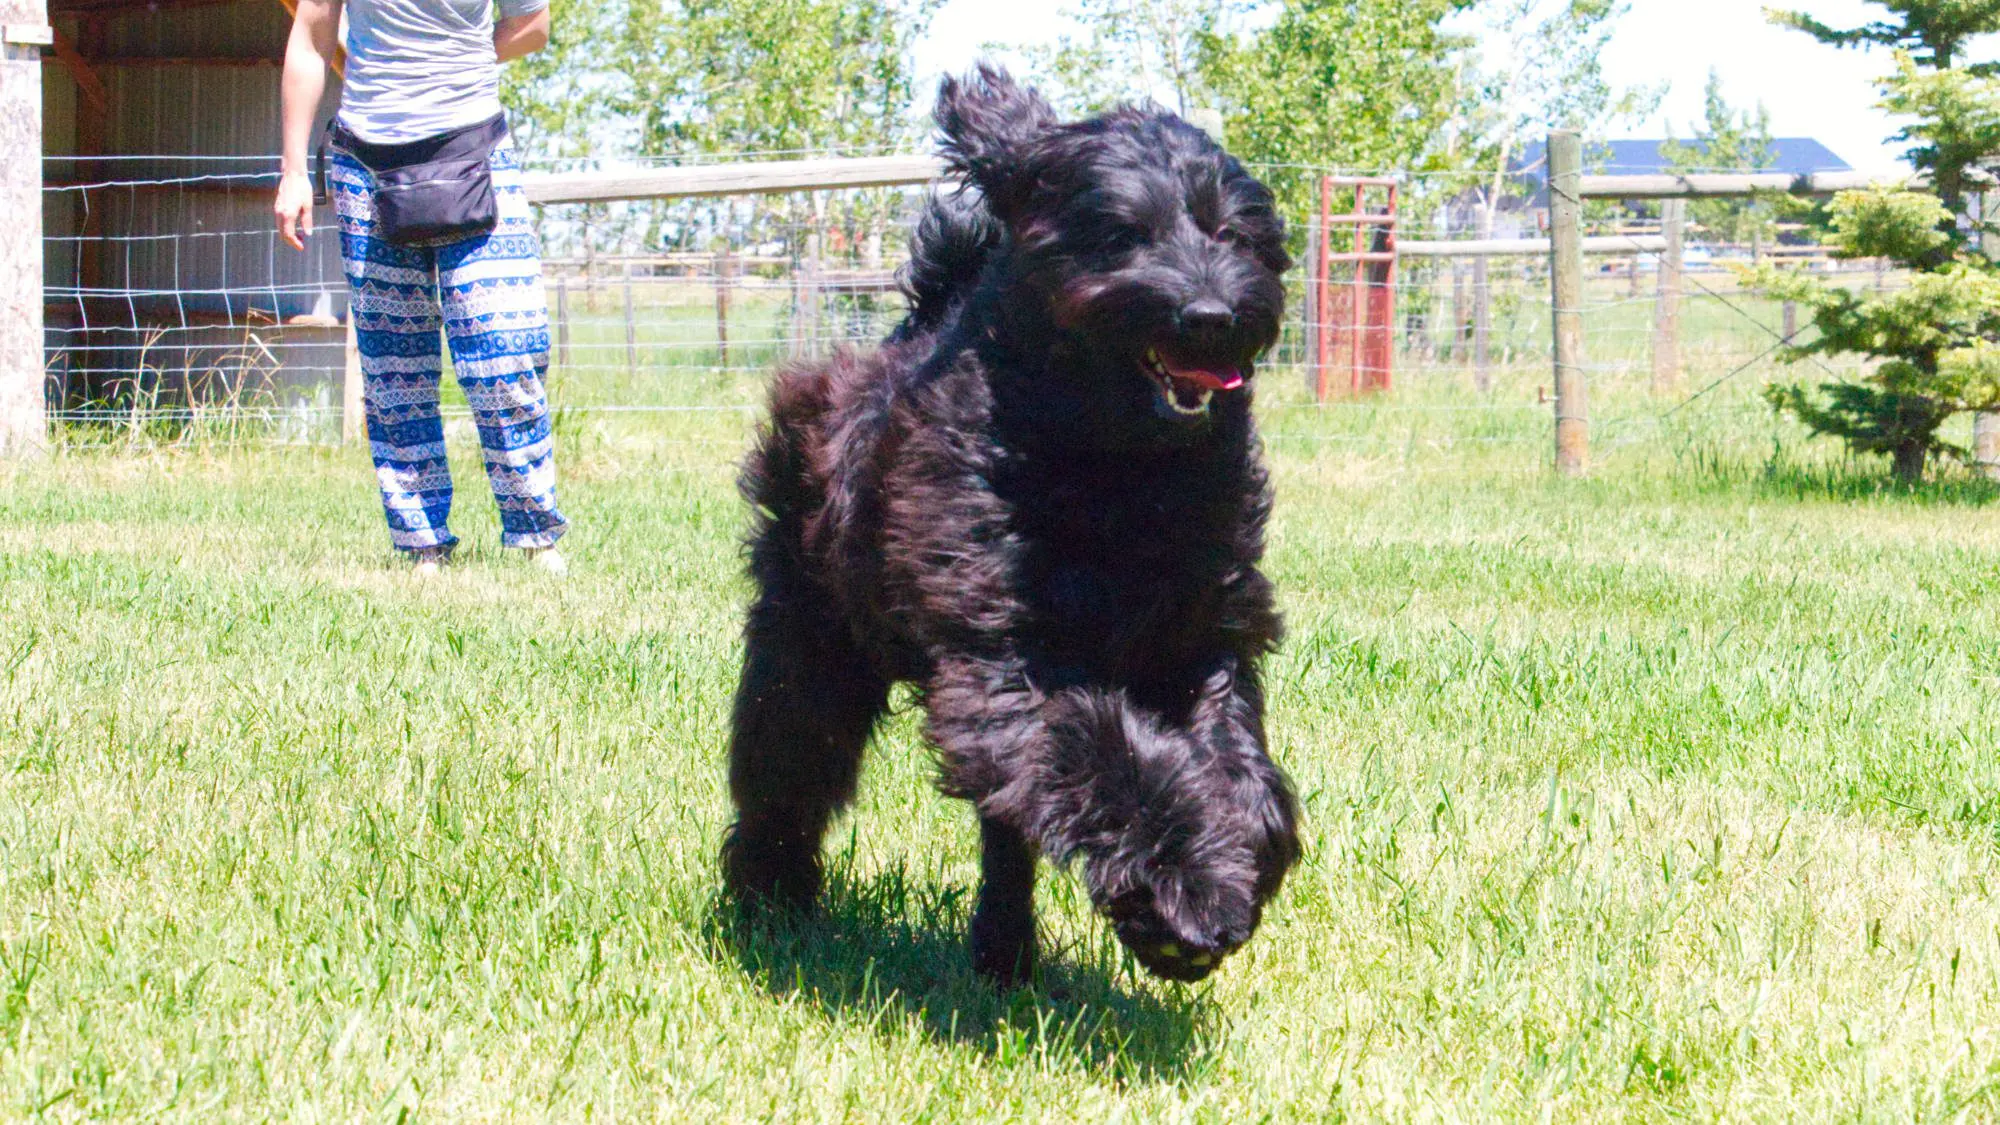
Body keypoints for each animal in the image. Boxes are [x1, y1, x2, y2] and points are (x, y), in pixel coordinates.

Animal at [720, 65, 1296, 984]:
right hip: (810, 640)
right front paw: (1185, 890)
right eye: (1122, 233)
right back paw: (769, 902)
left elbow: (1235, 757)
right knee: (787, 766)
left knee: (1005, 825)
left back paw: (1004, 951)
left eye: (1233, 232)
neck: (1114, 468)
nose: (1210, 312)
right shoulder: (1007, 658)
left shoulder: (1204, 633)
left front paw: (1235, 851)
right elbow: (1109, 755)